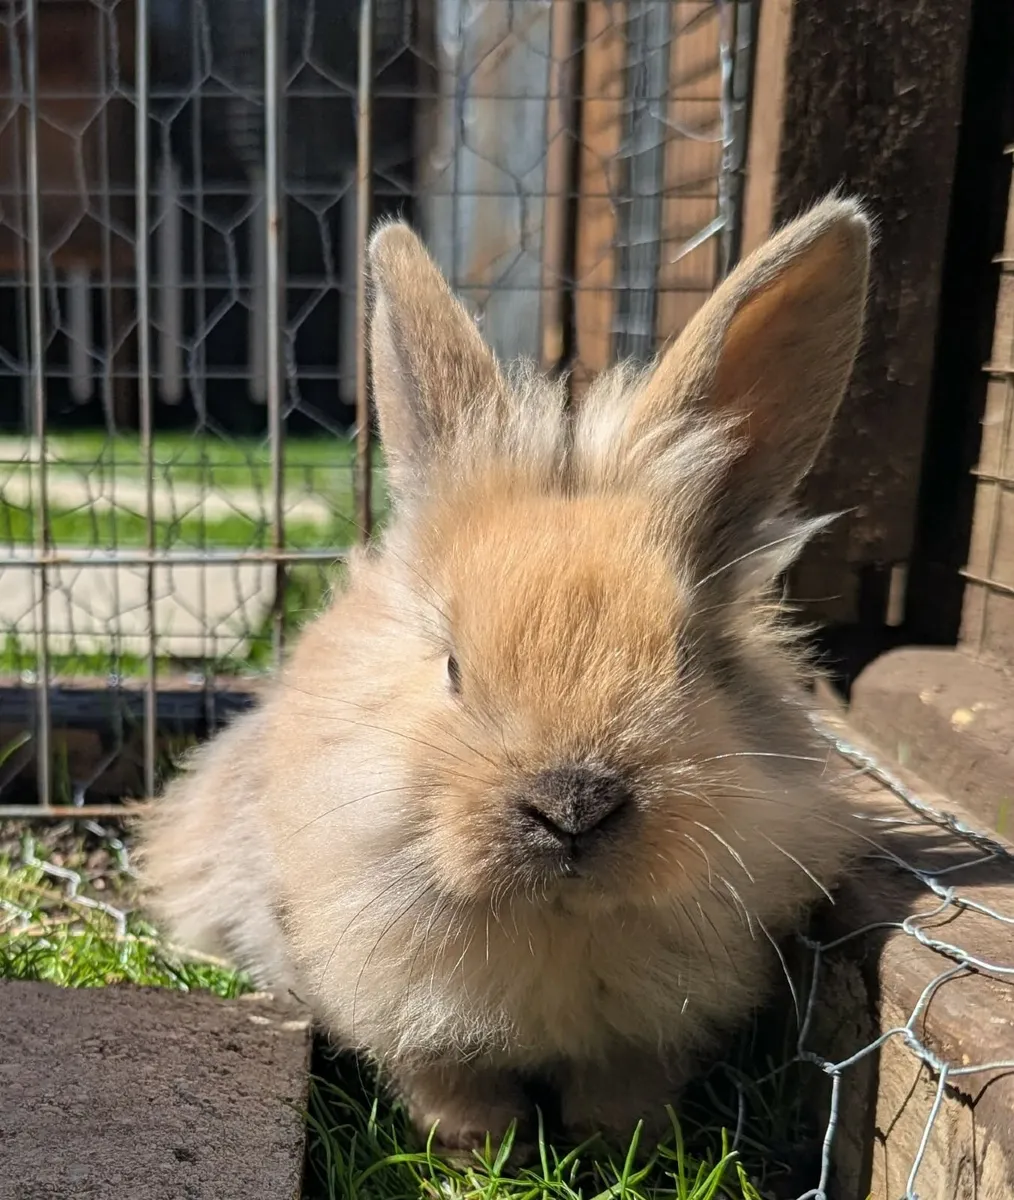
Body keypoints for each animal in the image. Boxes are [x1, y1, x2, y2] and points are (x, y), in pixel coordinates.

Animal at [139, 193, 872, 1155]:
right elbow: (446, 1081)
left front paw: (618, 1140)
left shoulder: (651, 1031)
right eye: (452, 665)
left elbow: (623, 1088)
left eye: (689, 657)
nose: (572, 805)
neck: (555, 920)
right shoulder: (409, 1020)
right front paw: (483, 1143)